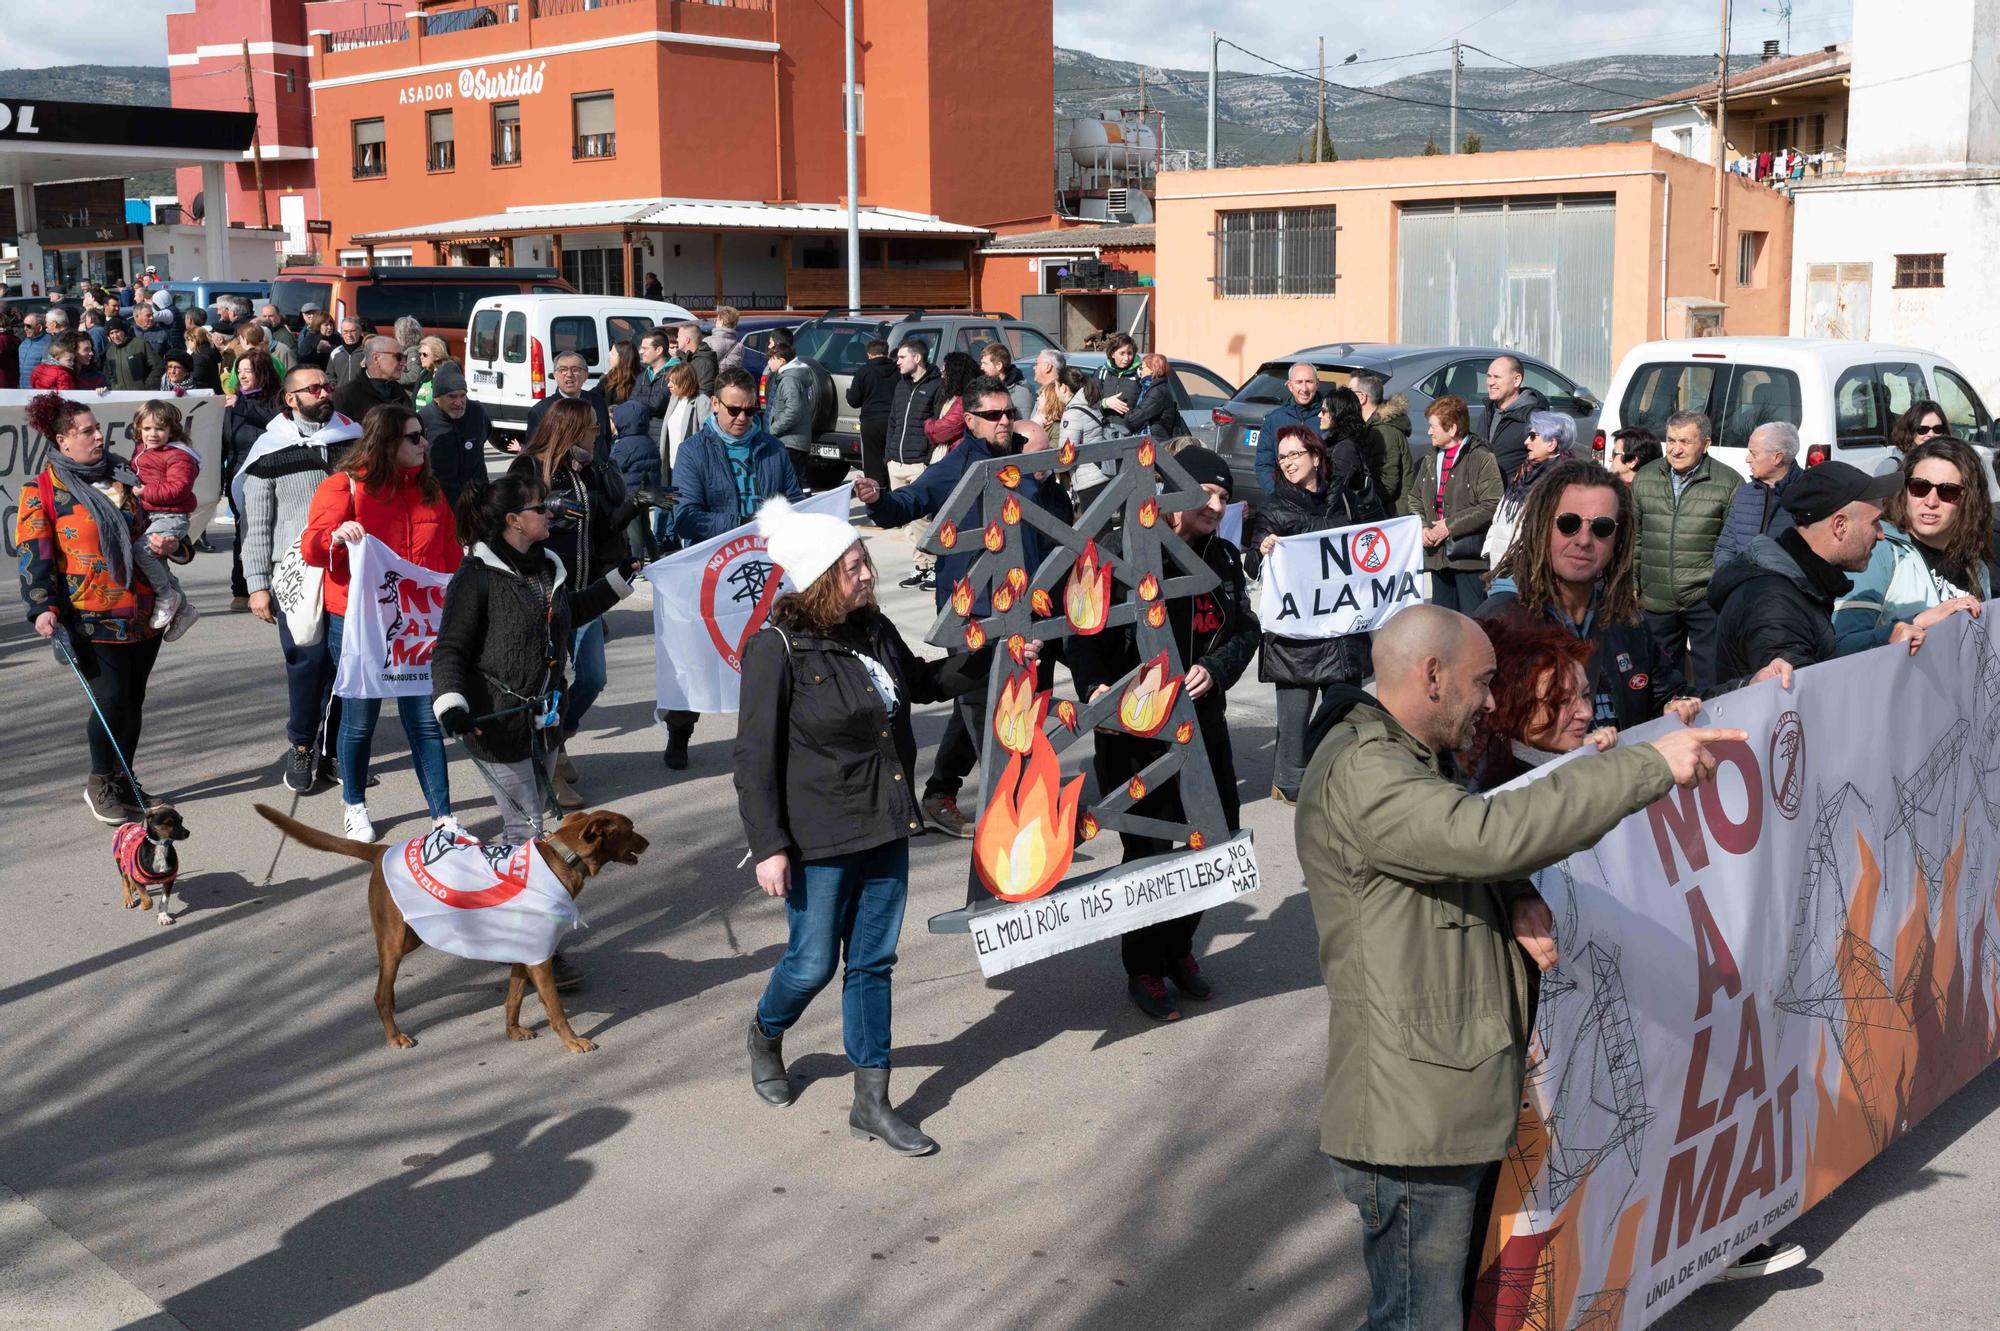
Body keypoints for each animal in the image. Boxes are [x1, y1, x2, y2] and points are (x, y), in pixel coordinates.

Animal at [252, 803, 648, 1055]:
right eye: (630, 829)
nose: (647, 842)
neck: (560, 860)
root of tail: (382, 851)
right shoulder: (539, 958)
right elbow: (556, 1010)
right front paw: (574, 1041)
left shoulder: (525, 952)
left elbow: (513, 998)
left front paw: (512, 1031)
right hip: (395, 941)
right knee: (381, 995)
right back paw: (395, 1036)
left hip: (411, 936)